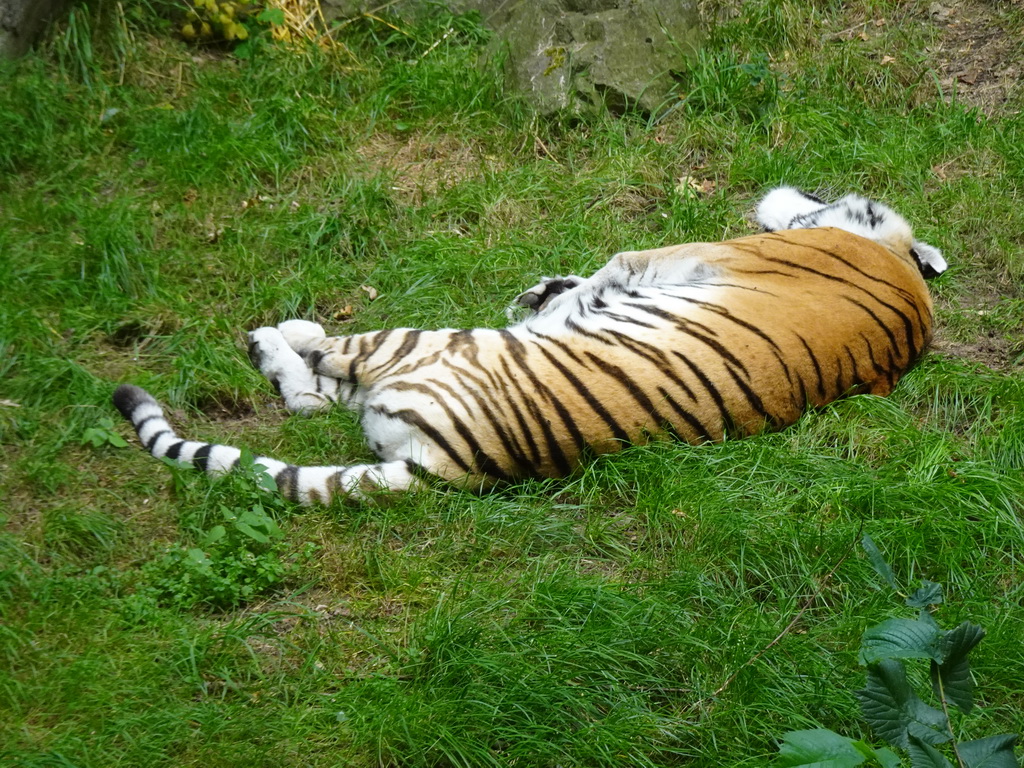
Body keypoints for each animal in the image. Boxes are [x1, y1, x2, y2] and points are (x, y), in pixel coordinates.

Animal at [112, 188, 942, 505]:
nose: (781, 190)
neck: (902, 268)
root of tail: (444, 465)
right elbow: (589, 282)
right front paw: (547, 291)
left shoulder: (703, 251)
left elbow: (618, 262)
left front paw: (559, 296)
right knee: (315, 397)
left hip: (423, 344)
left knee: (313, 380)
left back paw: (278, 333)